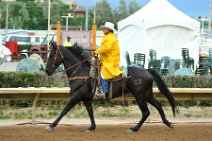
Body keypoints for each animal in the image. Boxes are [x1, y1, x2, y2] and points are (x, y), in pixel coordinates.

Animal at [45, 42, 178, 133]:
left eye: (52, 55)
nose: (47, 71)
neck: (82, 72)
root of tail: (147, 70)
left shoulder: (76, 96)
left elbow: (65, 110)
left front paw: (51, 125)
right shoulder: (86, 99)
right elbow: (90, 113)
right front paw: (91, 127)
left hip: (140, 96)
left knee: (146, 112)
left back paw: (134, 128)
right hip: (147, 95)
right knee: (158, 106)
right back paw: (168, 123)